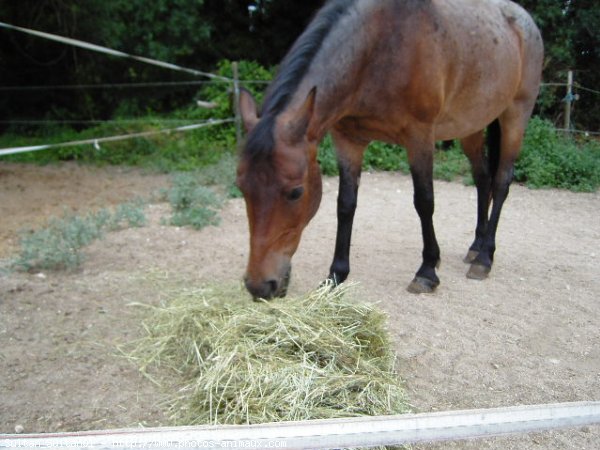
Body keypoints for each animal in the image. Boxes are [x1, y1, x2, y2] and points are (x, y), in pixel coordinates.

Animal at [238, 0, 544, 298]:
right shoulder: (347, 141)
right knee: (482, 179)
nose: (259, 286)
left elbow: (424, 202)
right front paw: (335, 276)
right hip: (470, 127)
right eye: (242, 189)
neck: (379, 45)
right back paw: (476, 246)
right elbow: (345, 205)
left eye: (296, 192)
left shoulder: (419, 136)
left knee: (501, 182)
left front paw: (427, 271)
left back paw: (485, 257)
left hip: (515, 117)